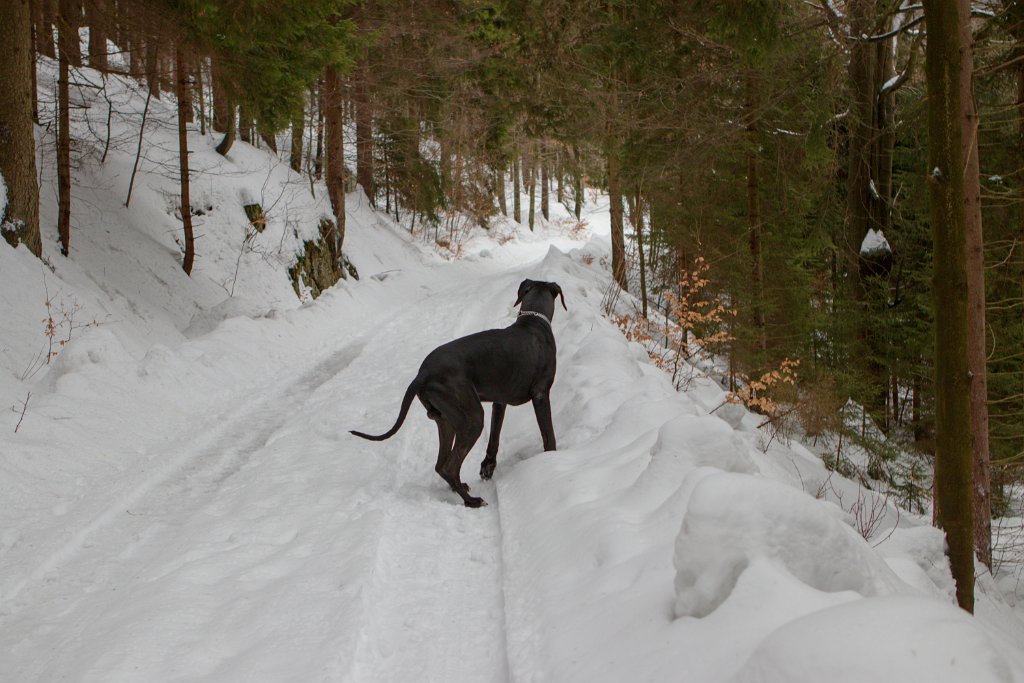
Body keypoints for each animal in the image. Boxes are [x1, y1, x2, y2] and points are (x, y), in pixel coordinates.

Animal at [348, 278, 565, 507]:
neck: (533, 320)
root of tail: (423, 374)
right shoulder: (541, 394)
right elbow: (549, 436)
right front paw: (553, 460)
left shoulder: (500, 402)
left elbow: (494, 437)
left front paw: (488, 467)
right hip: (472, 417)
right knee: (449, 466)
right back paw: (471, 500)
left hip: (446, 419)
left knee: (441, 464)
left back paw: (459, 487)